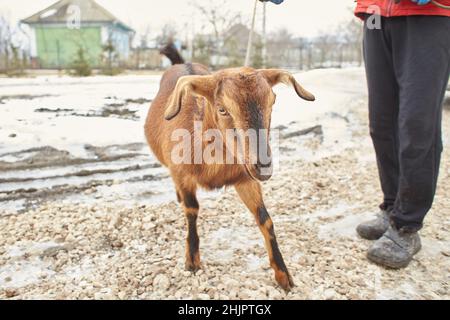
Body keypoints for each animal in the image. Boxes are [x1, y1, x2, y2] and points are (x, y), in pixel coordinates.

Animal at [144, 62, 312, 290]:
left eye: (273, 101)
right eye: (222, 109)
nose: (263, 166)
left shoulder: (245, 178)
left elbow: (265, 219)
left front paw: (283, 275)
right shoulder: (182, 175)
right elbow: (191, 210)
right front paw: (192, 260)